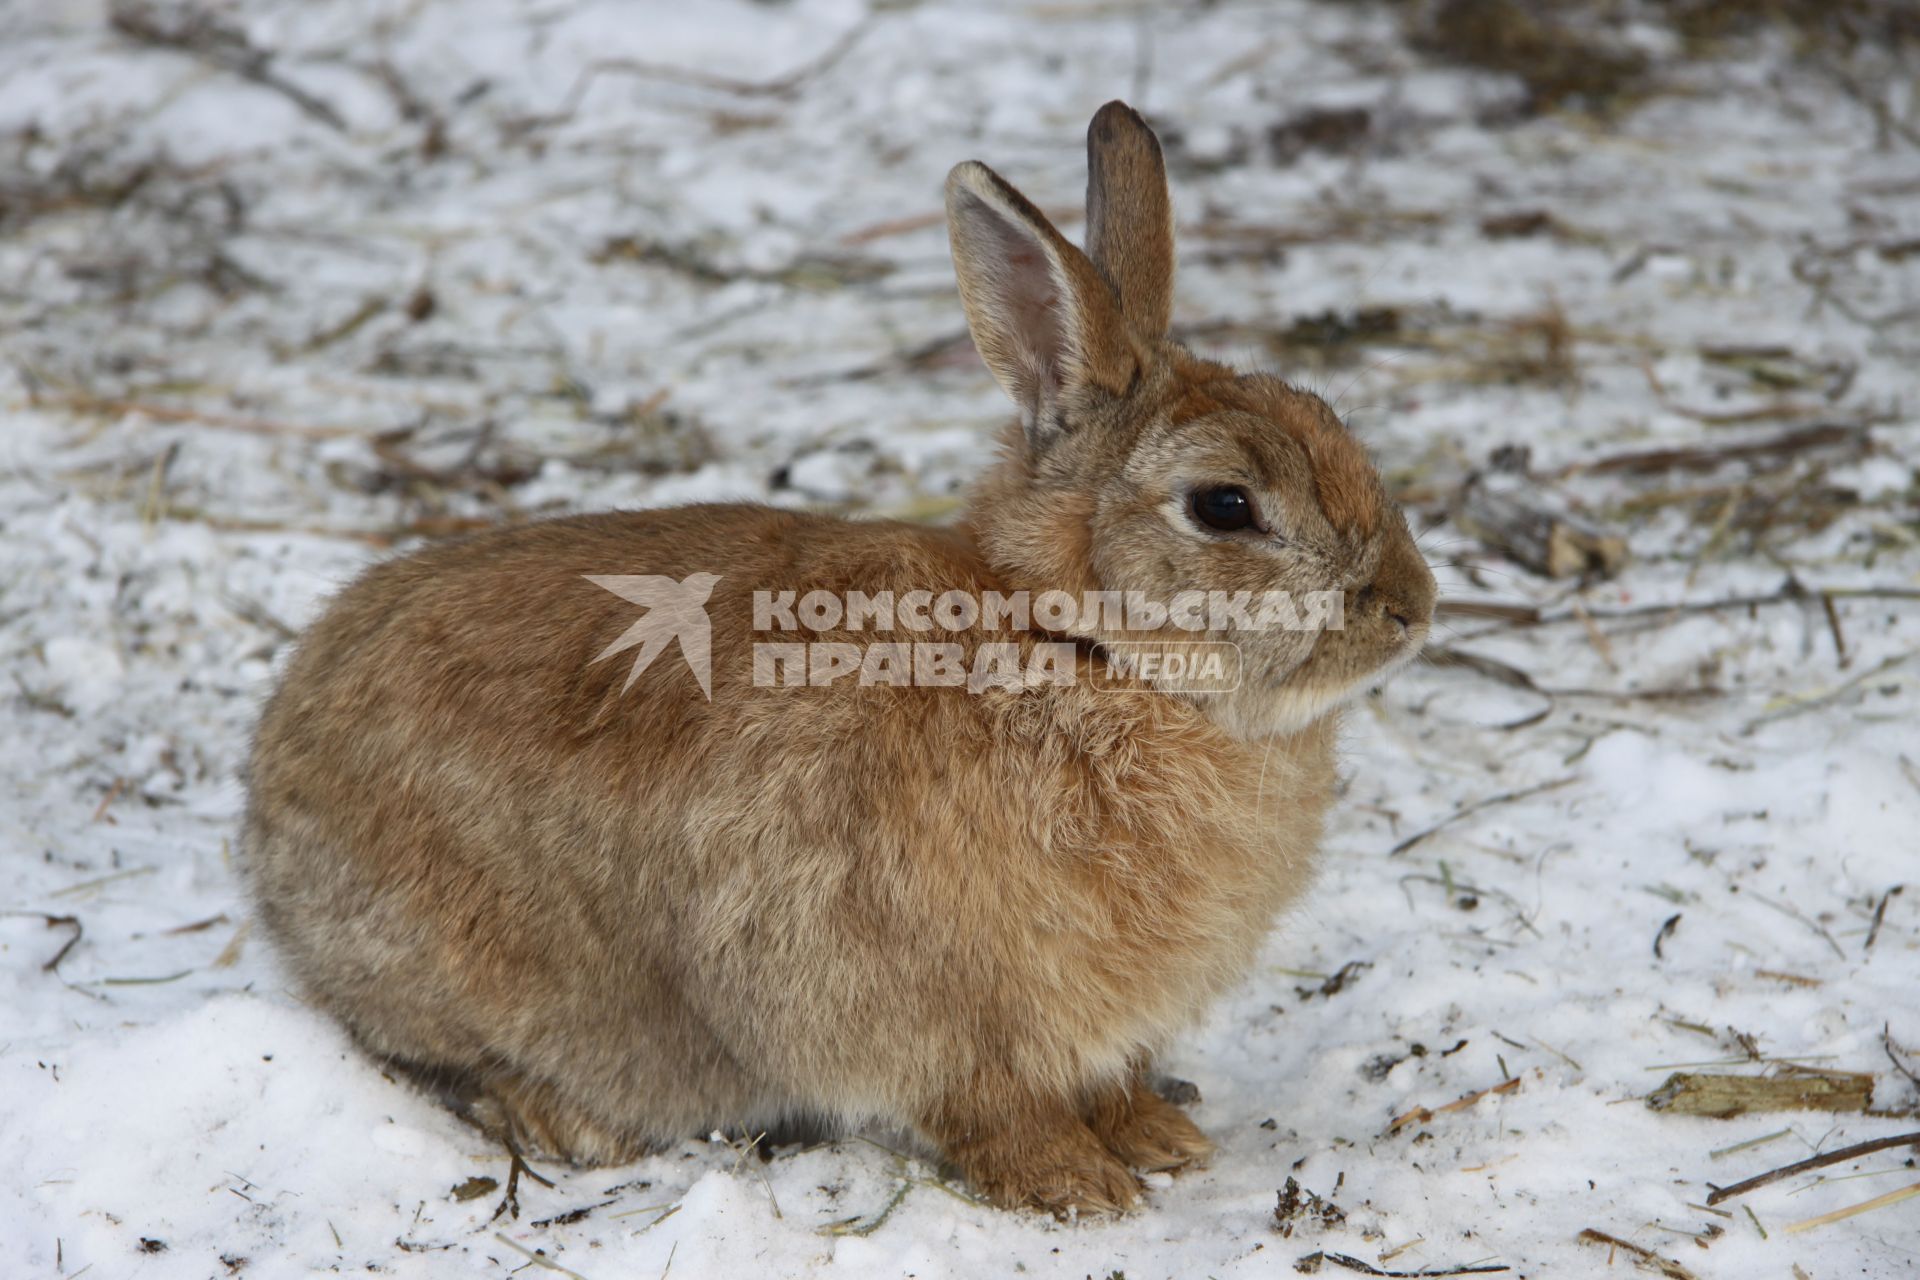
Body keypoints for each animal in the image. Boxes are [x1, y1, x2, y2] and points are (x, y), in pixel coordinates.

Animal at [247, 105, 1436, 1220]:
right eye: (1225, 505)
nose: (1411, 606)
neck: (1077, 646)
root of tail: (269, 784)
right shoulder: (919, 999)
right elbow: (988, 1102)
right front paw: (1077, 1187)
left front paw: (1158, 1138)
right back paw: (561, 1118)